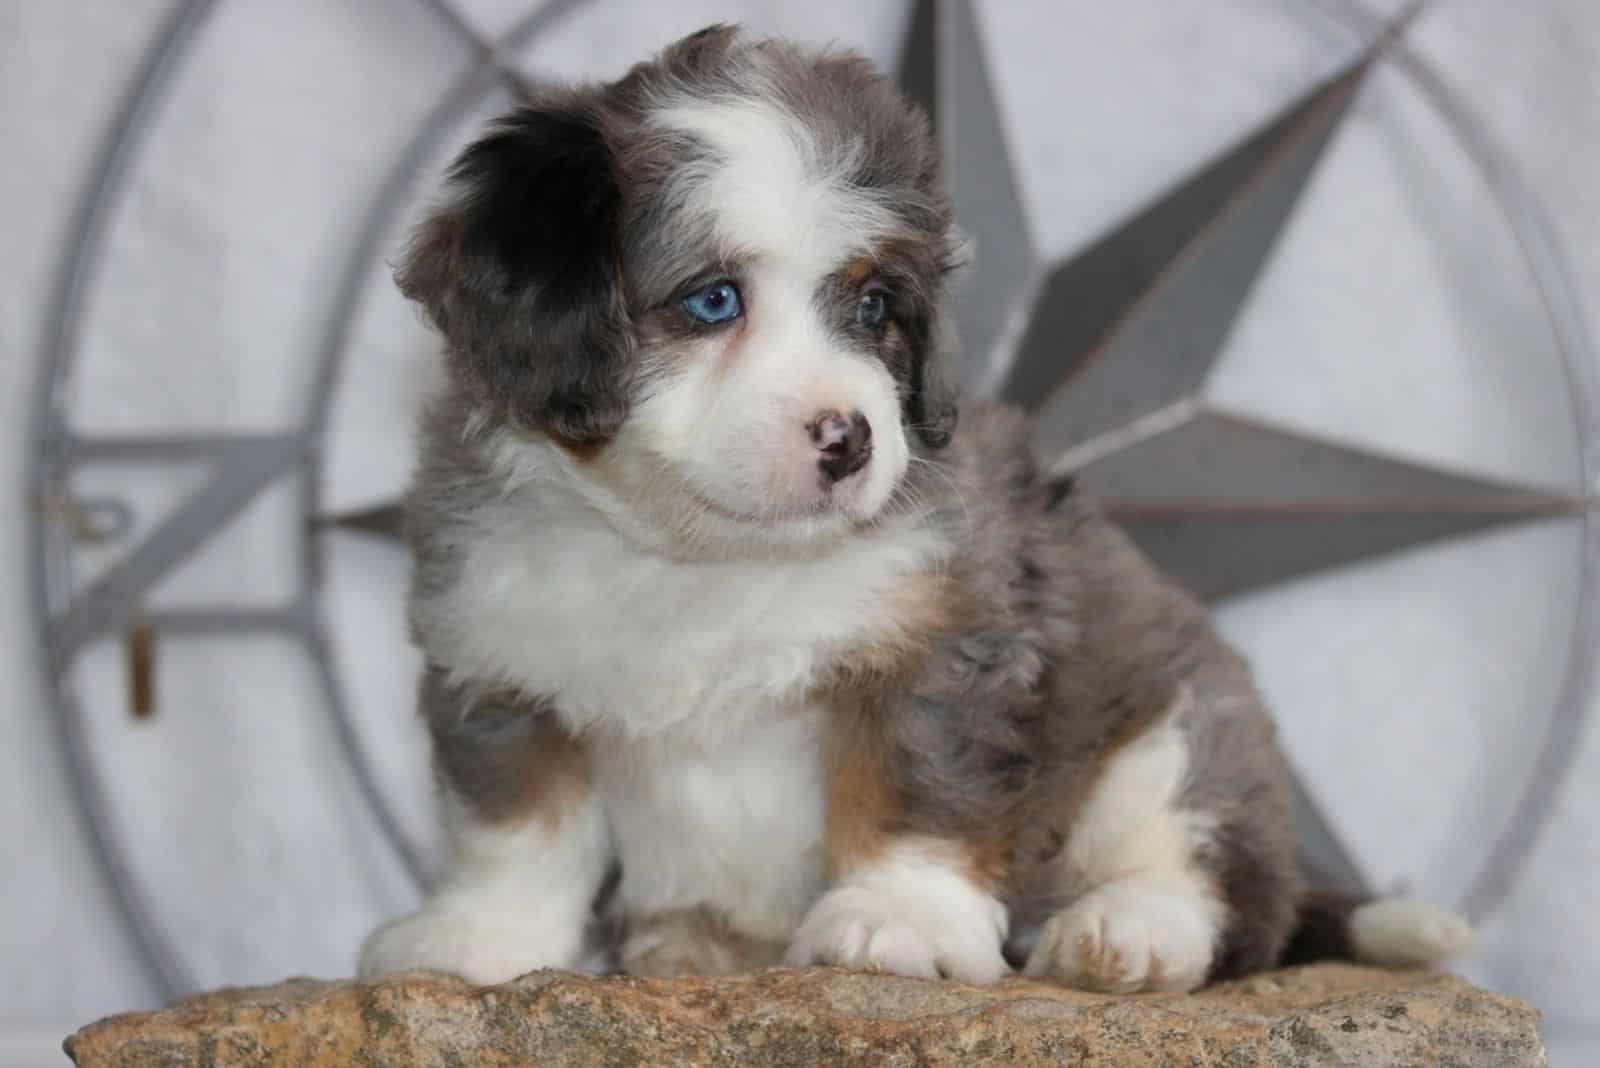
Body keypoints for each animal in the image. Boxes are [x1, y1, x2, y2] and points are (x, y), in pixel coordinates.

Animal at [356, 24, 1465, 991]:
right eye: (712, 300)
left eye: (874, 307)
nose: (850, 440)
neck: (697, 558)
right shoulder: (497, 656)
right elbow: (515, 824)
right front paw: (479, 938)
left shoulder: (945, 640)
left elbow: (918, 791)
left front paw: (898, 921)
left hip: (1182, 727)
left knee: (1214, 882)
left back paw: (1123, 931)